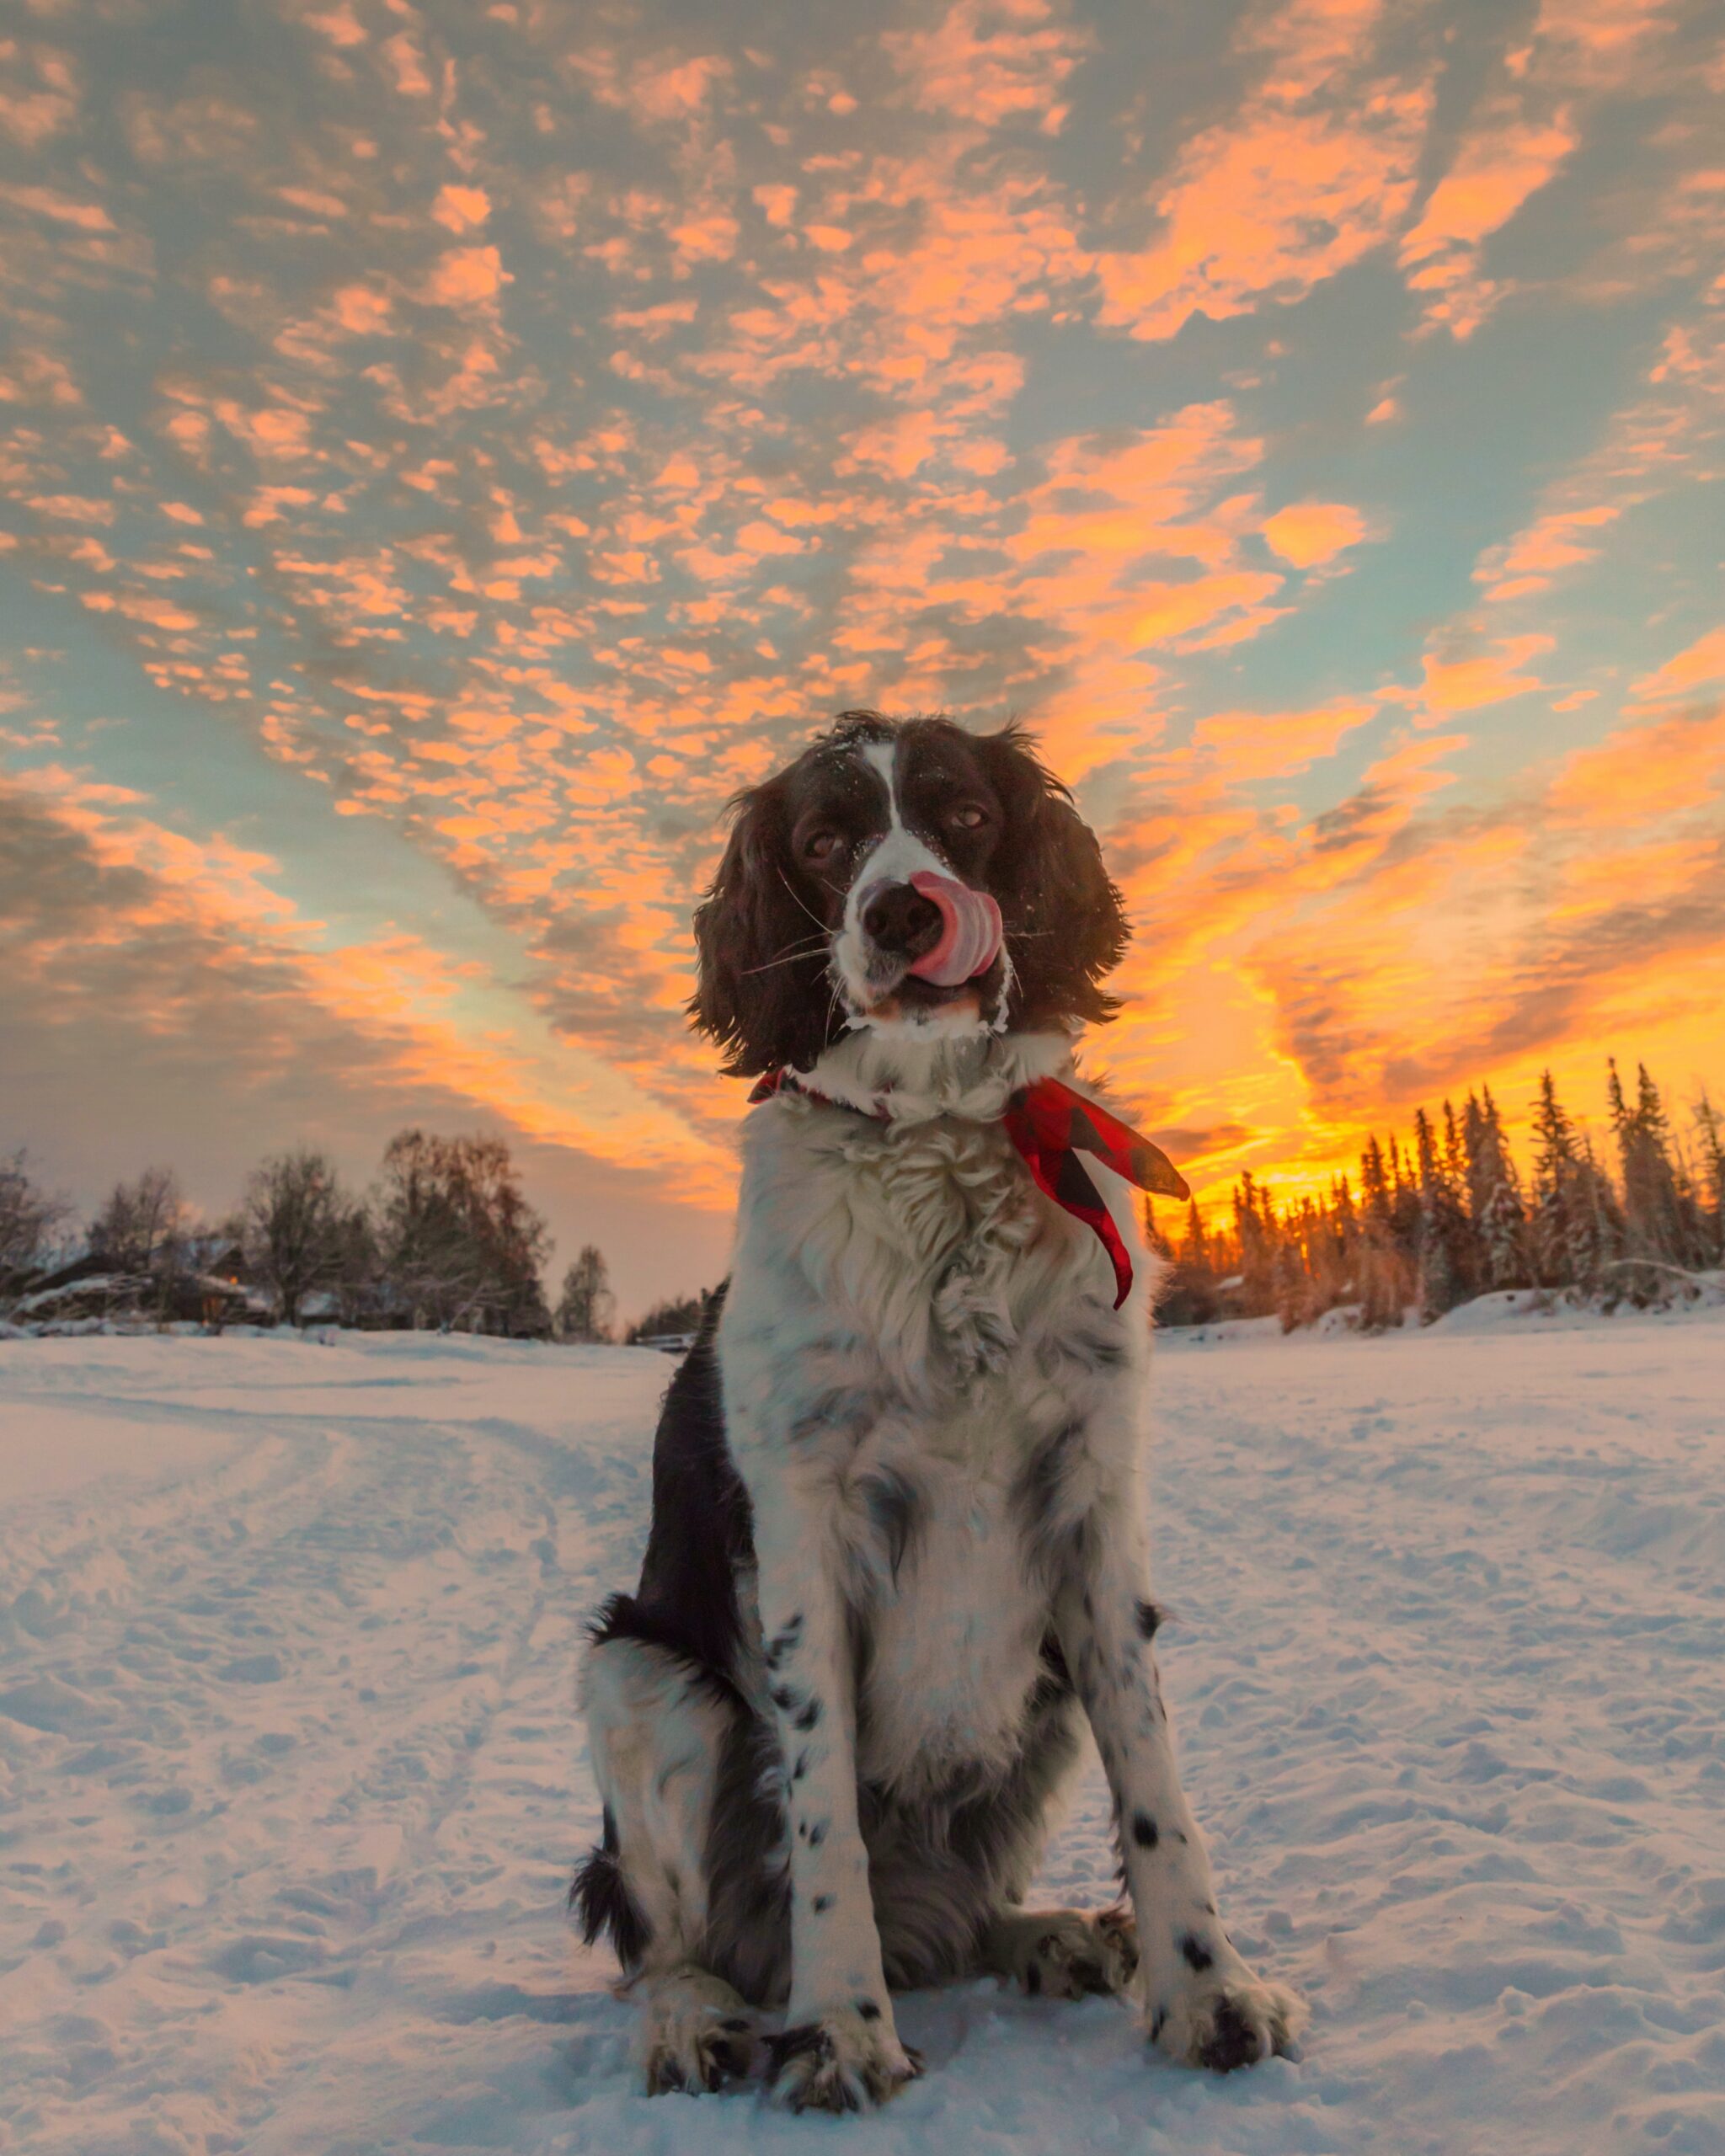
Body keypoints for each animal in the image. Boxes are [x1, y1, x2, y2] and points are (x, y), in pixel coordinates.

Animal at [573, 702, 1302, 2104]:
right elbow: (823, 1819)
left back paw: (1054, 1936)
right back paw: (702, 2020)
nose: (906, 910)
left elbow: (1157, 1784)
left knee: (963, 1919)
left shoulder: (1095, 1506)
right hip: (641, 1676)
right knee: (668, 1945)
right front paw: (841, 2032)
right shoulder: (806, 1521)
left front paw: (1208, 1988)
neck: (942, 1142)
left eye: (964, 812)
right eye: (821, 841)